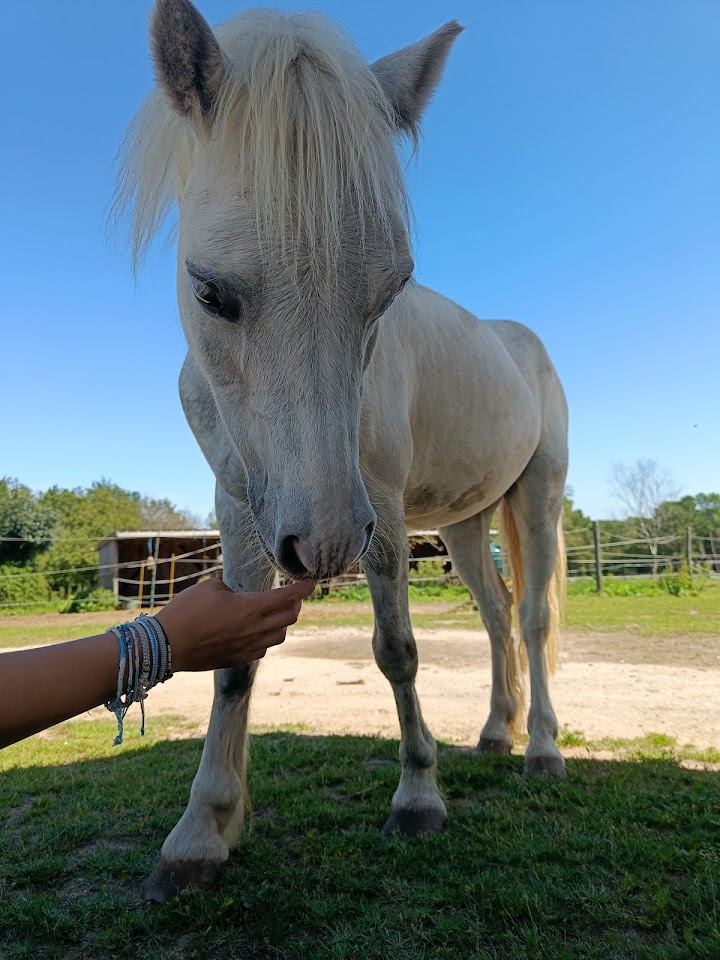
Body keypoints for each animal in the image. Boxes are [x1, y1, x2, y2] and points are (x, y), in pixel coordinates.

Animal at [115, 0, 568, 902]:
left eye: (391, 290)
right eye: (208, 291)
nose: (320, 546)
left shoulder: (381, 509)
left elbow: (397, 651)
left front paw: (419, 797)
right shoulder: (239, 504)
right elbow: (233, 667)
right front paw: (202, 832)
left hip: (535, 495)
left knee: (532, 618)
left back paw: (540, 748)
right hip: (463, 524)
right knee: (498, 614)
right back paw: (495, 733)